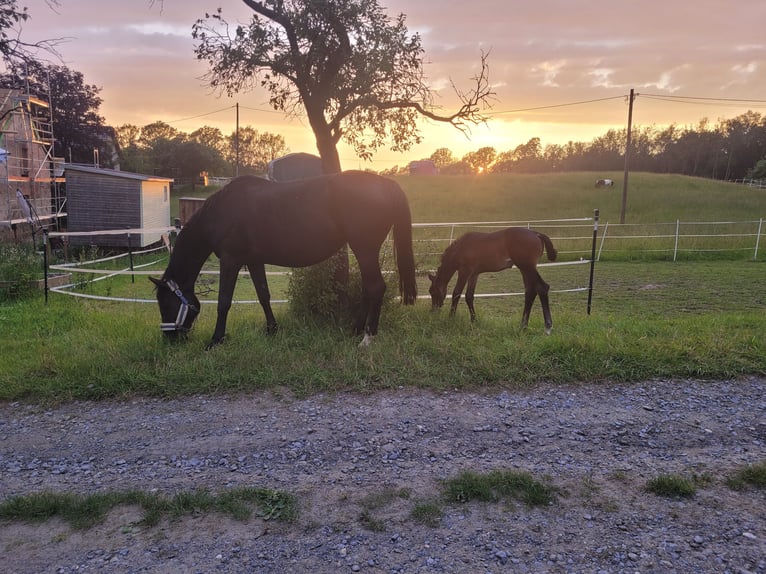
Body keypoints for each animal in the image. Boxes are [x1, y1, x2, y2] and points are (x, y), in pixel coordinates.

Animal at [152, 171, 416, 348]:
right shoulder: (254, 261)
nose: (169, 338)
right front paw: (272, 329)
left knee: (375, 287)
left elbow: (223, 302)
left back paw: (367, 338)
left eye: (164, 303)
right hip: (364, 252)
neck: (222, 212)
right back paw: (355, 329)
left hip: (365, 250)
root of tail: (386, 184)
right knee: (367, 288)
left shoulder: (230, 261)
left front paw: (216, 340)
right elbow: (263, 295)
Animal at [432, 227, 560, 336]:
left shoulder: (464, 272)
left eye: (432, 292)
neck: (462, 247)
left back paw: (547, 327)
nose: (434, 310)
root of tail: (536, 234)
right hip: (524, 269)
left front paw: (451, 319)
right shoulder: (474, 274)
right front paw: (473, 320)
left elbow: (456, 293)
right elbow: (469, 296)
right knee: (530, 291)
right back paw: (523, 326)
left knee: (542, 287)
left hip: (527, 267)